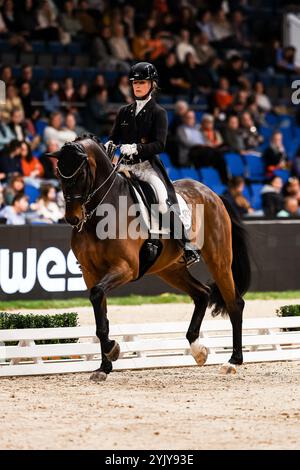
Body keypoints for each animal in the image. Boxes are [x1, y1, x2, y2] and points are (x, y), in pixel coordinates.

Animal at [51, 134, 251, 380]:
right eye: (59, 172)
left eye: (80, 173)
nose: (72, 218)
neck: (101, 214)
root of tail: (212, 193)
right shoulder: (91, 273)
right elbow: (101, 315)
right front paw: (104, 366)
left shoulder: (126, 267)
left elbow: (98, 297)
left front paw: (112, 350)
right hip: (170, 269)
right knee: (202, 293)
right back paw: (198, 350)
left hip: (218, 259)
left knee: (234, 303)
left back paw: (233, 361)